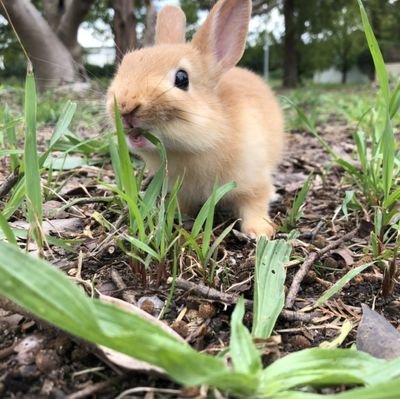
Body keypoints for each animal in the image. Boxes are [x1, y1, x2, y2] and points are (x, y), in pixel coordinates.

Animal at [107, 0, 284, 238]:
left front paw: (259, 231)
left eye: (182, 78)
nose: (125, 107)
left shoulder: (253, 180)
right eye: (125, 65)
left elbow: (254, 204)